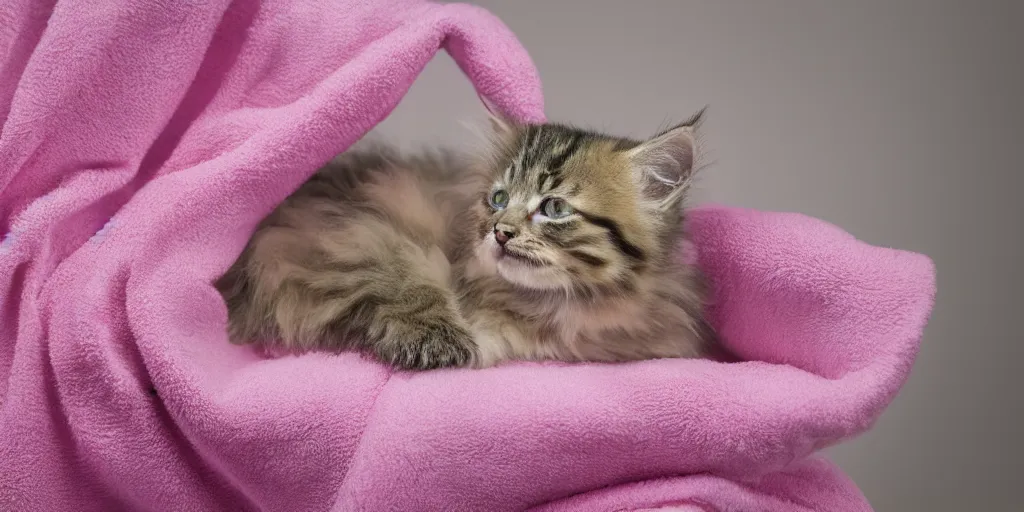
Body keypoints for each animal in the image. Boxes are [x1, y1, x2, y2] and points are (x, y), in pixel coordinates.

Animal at [218, 111, 712, 368]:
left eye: (554, 208)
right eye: (498, 199)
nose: (500, 231)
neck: (548, 312)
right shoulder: (359, 236)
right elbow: (409, 288)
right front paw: (442, 344)